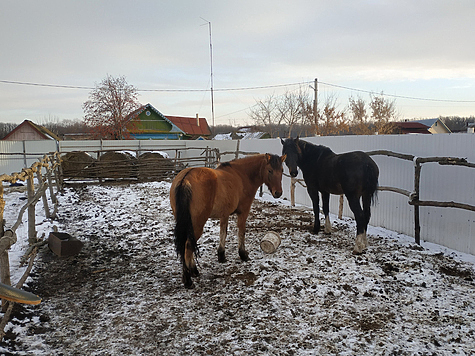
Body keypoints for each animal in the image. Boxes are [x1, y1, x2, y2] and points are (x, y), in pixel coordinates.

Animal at [169, 154, 284, 288]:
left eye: (282, 170)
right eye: (270, 170)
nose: (278, 193)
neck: (242, 175)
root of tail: (186, 178)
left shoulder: (224, 214)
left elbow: (223, 233)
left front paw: (221, 255)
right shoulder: (243, 212)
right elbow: (241, 232)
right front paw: (243, 254)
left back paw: (193, 271)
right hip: (197, 224)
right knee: (188, 246)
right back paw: (188, 280)